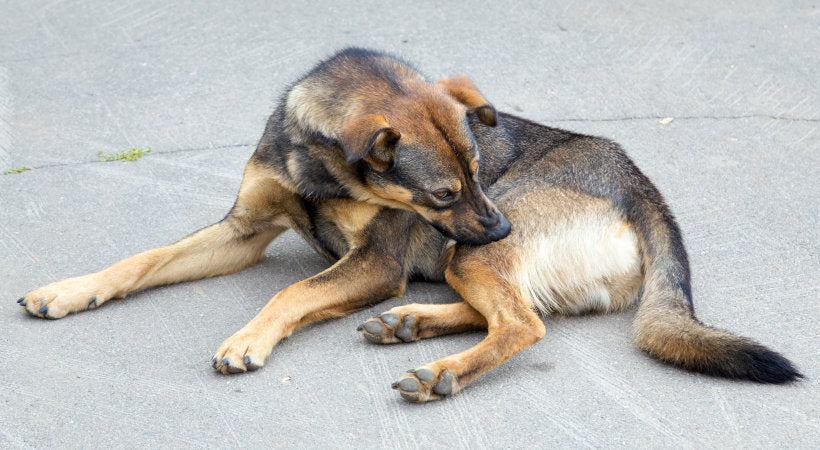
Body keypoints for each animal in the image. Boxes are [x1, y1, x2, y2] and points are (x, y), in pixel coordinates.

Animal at [19, 48, 800, 400]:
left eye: (481, 169)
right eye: (446, 192)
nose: (499, 227)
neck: (322, 169)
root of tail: (643, 189)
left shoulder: (376, 264)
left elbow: (291, 293)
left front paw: (248, 339)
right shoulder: (242, 229)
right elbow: (142, 260)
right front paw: (69, 290)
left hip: (470, 257)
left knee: (522, 323)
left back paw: (440, 371)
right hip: (468, 258)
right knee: (509, 311)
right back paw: (410, 325)